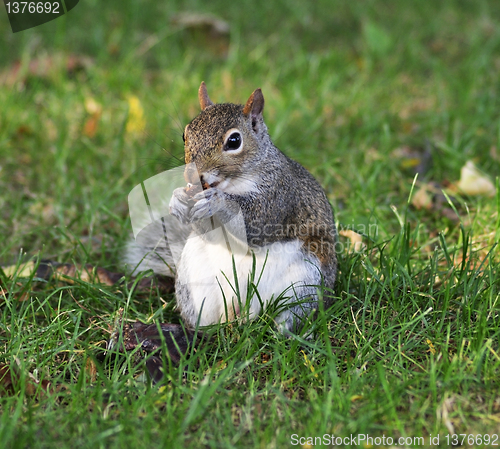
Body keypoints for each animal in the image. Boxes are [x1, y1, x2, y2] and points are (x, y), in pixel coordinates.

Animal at [125, 82, 338, 330]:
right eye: (185, 135)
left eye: (234, 141)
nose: (192, 175)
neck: (233, 184)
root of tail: (241, 311)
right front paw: (177, 199)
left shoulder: (280, 195)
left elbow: (257, 227)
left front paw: (218, 202)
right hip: (193, 283)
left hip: (305, 283)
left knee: (292, 315)